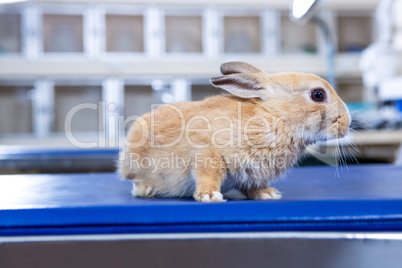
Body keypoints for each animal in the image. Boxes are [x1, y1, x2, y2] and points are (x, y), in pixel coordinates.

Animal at [118, 61, 350, 202]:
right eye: (318, 95)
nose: (346, 125)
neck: (275, 116)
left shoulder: (250, 175)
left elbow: (252, 187)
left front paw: (267, 194)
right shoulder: (208, 153)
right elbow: (208, 174)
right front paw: (209, 196)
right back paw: (145, 190)